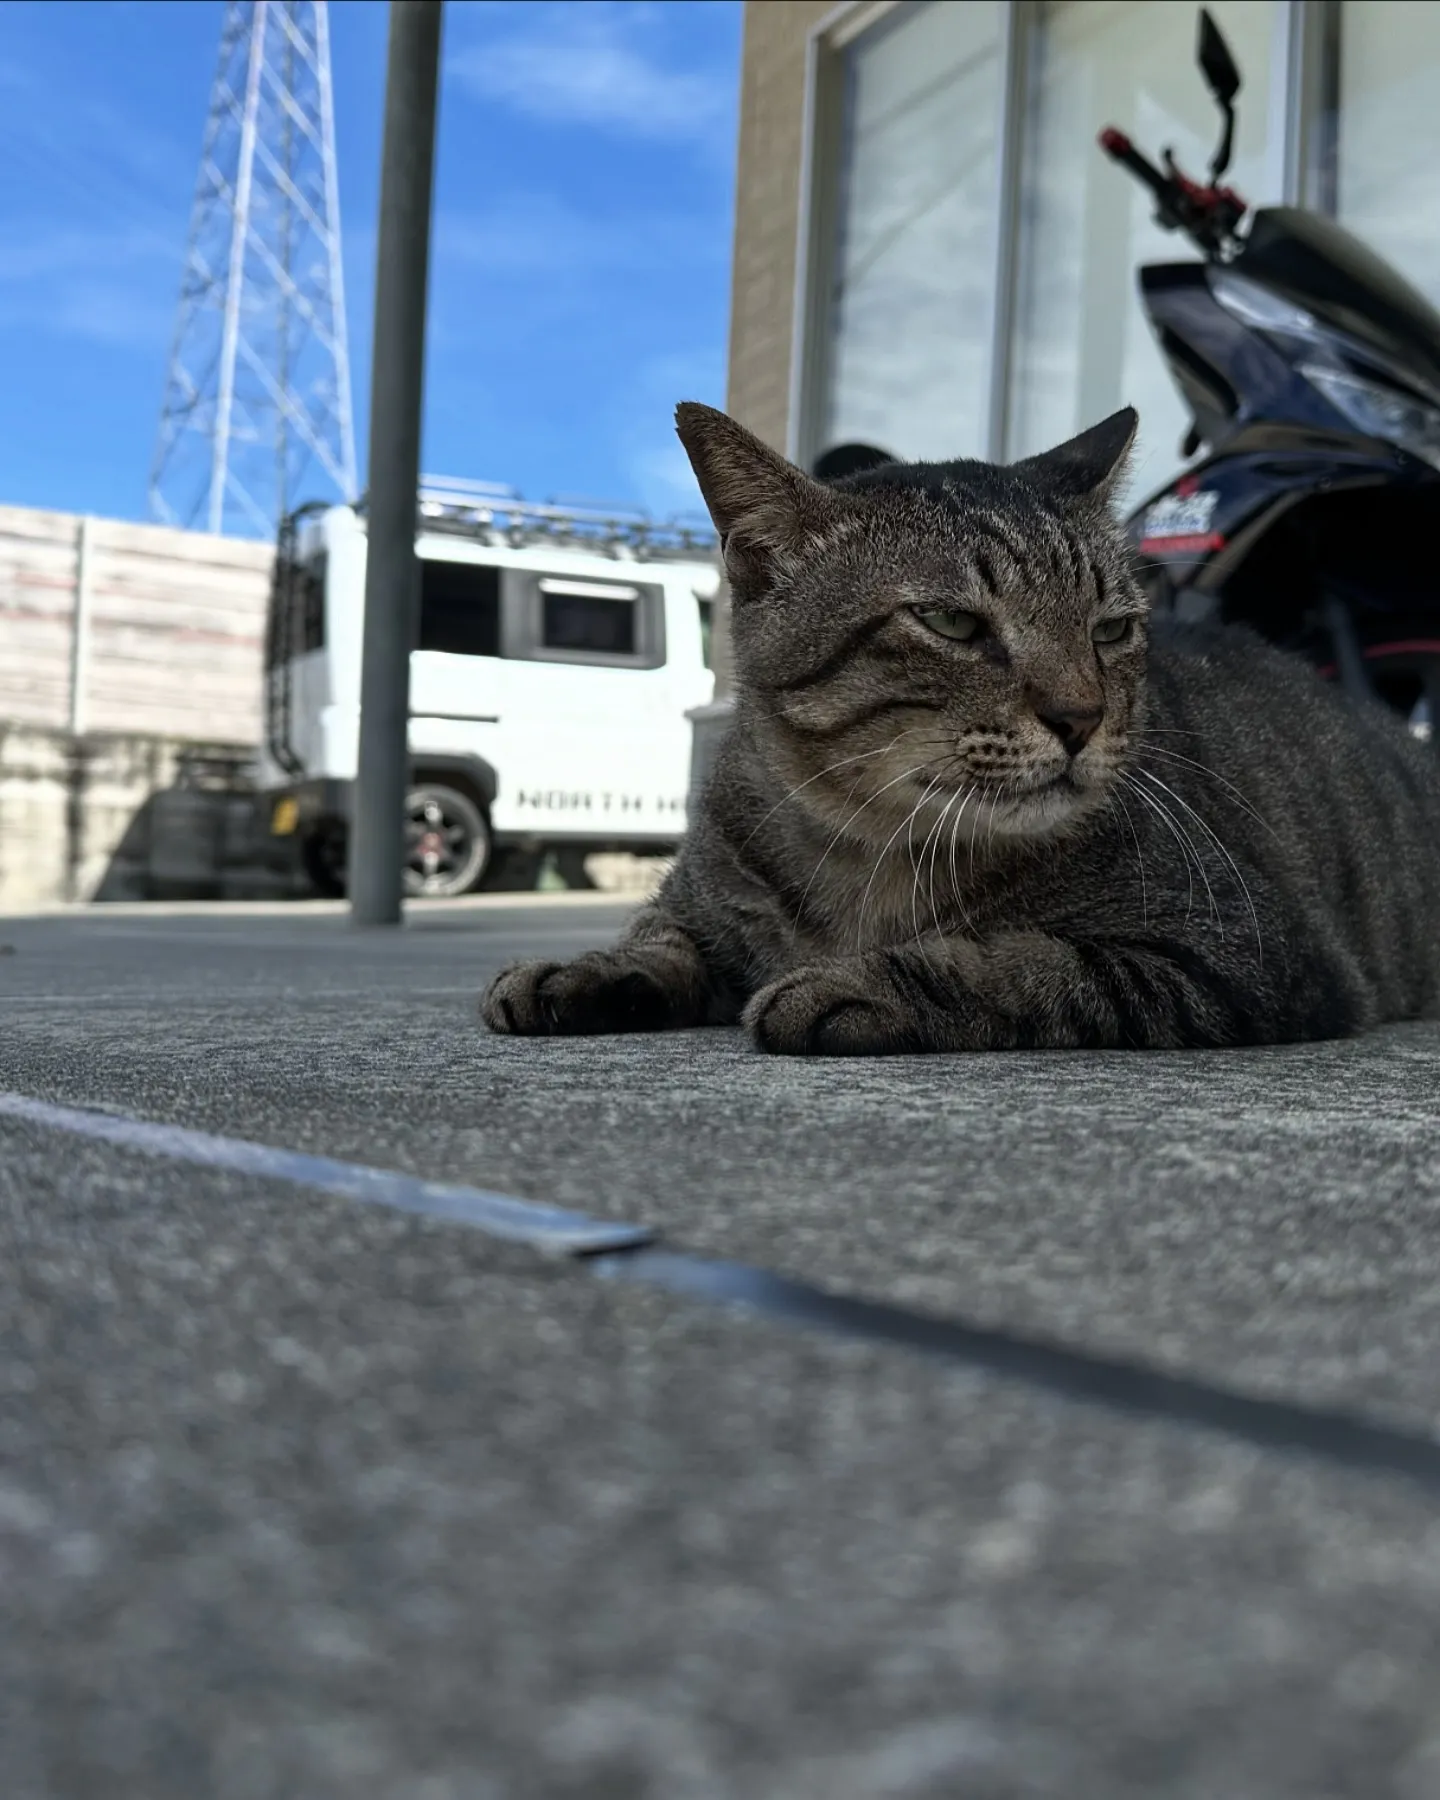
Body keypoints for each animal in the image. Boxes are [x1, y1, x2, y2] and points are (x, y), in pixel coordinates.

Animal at [482, 405, 1440, 1051]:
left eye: (1109, 629)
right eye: (952, 623)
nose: (1081, 716)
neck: (865, 848)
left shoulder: (1249, 954)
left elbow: (1025, 963)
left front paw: (850, 985)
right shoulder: (701, 900)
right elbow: (663, 940)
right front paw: (585, 971)